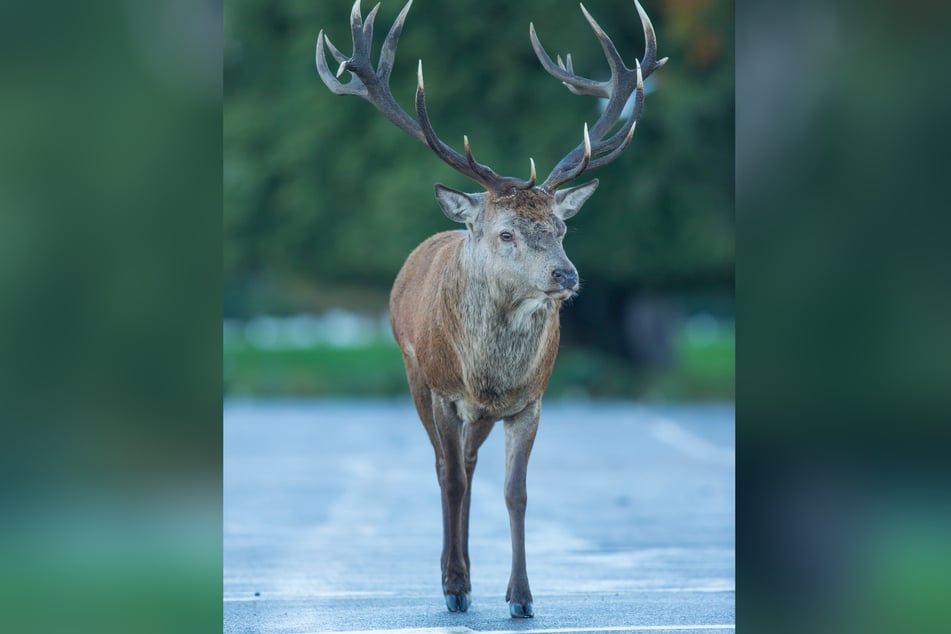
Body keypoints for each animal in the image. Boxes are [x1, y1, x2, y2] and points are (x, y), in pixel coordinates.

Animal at [316, 0, 665, 618]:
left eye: (560, 228)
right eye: (506, 233)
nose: (566, 275)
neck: (488, 376)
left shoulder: (531, 401)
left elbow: (516, 493)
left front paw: (521, 595)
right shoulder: (441, 390)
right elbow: (451, 479)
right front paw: (455, 586)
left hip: (476, 415)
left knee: (473, 467)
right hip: (414, 376)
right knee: (445, 468)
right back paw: (453, 575)